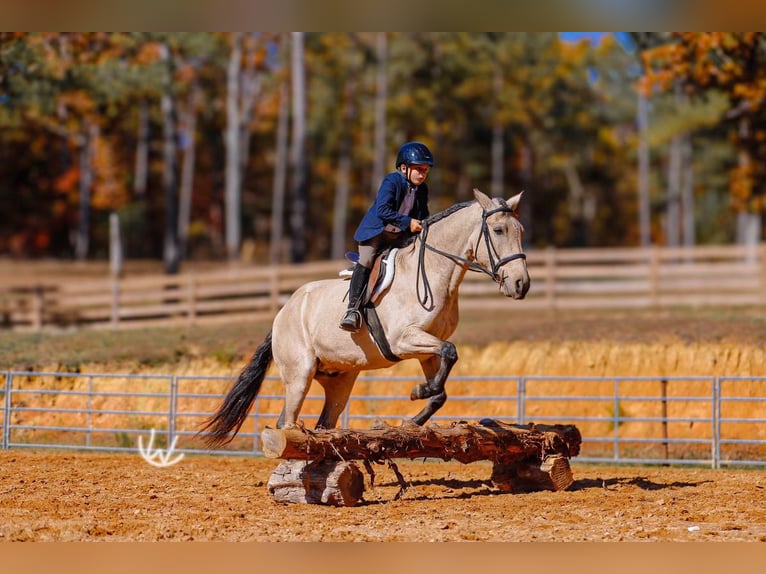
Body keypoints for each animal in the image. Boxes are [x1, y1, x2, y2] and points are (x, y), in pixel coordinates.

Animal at [201, 188, 530, 447]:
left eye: (521, 231)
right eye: (498, 231)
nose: (521, 284)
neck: (437, 272)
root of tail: (283, 312)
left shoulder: (428, 346)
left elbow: (442, 383)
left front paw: (417, 408)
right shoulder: (403, 341)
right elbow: (450, 353)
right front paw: (417, 392)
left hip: (338, 381)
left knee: (314, 422)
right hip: (299, 374)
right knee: (289, 420)